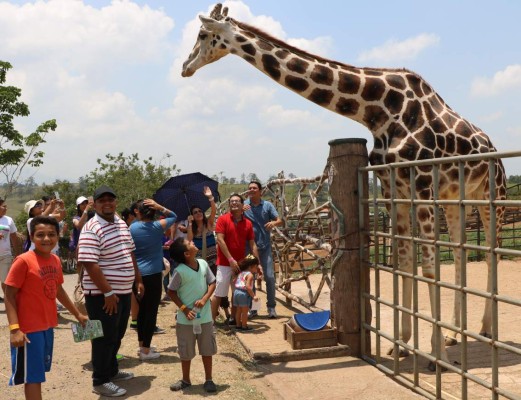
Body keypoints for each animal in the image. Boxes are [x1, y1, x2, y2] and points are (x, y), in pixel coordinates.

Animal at [182, 3, 504, 368]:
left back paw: (486, 331)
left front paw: (437, 356)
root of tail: (493, 147)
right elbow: (405, 261)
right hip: (455, 199)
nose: (185, 67)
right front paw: (402, 344)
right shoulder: (394, 187)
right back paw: (456, 333)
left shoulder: (421, 183)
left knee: (491, 251)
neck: (378, 110)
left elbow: (429, 265)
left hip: (491, 193)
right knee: (463, 252)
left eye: (203, 34)